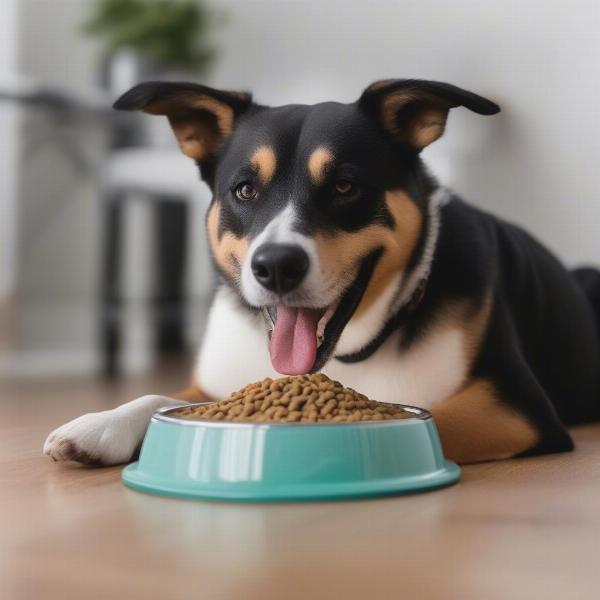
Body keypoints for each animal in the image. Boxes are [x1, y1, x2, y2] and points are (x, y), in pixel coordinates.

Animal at [42, 78, 600, 464]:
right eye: (245, 189)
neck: (352, 351)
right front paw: (102, 425)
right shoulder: (219, 384)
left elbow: (419, 416)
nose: (275, 266)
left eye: (345, 187)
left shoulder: (516, 407)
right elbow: (158, 396)